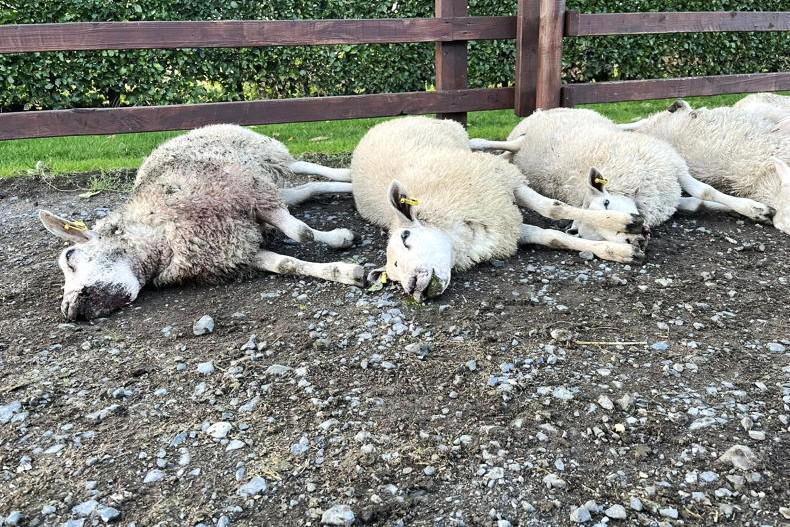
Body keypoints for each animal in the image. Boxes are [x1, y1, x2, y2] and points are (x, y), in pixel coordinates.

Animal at [39, 124, 363, 320]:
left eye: (70, 257)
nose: (71, 310)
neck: (163, 237)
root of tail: (185, 132)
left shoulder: (251, 192)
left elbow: (301, 233)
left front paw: (337, 240)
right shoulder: (233, 250)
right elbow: (287, 264)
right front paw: (346, 271)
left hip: (264, 155)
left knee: (303, 167)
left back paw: (347, 173)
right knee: (308, 188)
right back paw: (349, 186)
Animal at [349, 116, 647, 301]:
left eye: (405, 236)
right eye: (393, 275)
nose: (413, 288)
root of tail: (376, 127)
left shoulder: (504, 184)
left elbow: (554, 209)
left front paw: (624, 223)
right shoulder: (507, 228)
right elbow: (553, 237)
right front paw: (618, 250)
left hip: (458, 136)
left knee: (481, 142)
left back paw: (519, 142)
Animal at [469, 108, 774, 242]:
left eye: (606, 203)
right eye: (597, 234)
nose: (636, 234)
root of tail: (535, 114)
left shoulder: (672, 166)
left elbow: (705, 192)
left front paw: (756, 209)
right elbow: (699, 202)